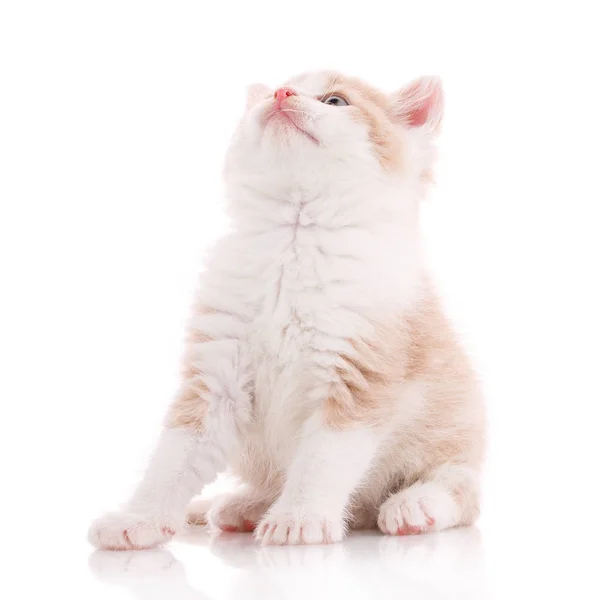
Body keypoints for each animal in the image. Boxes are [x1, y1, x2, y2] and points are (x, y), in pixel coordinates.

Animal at [88, 70, 482, 548]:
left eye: (335, 100)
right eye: (279, 87)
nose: (281, 93)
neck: (295, 240)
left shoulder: (358, 375)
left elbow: (322, 460)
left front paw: (299, 518)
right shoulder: (217, 374)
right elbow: (174, 455)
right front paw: (140, 518)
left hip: (452, 434)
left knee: (460, 489)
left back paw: (414, 506)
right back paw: (240, 506)